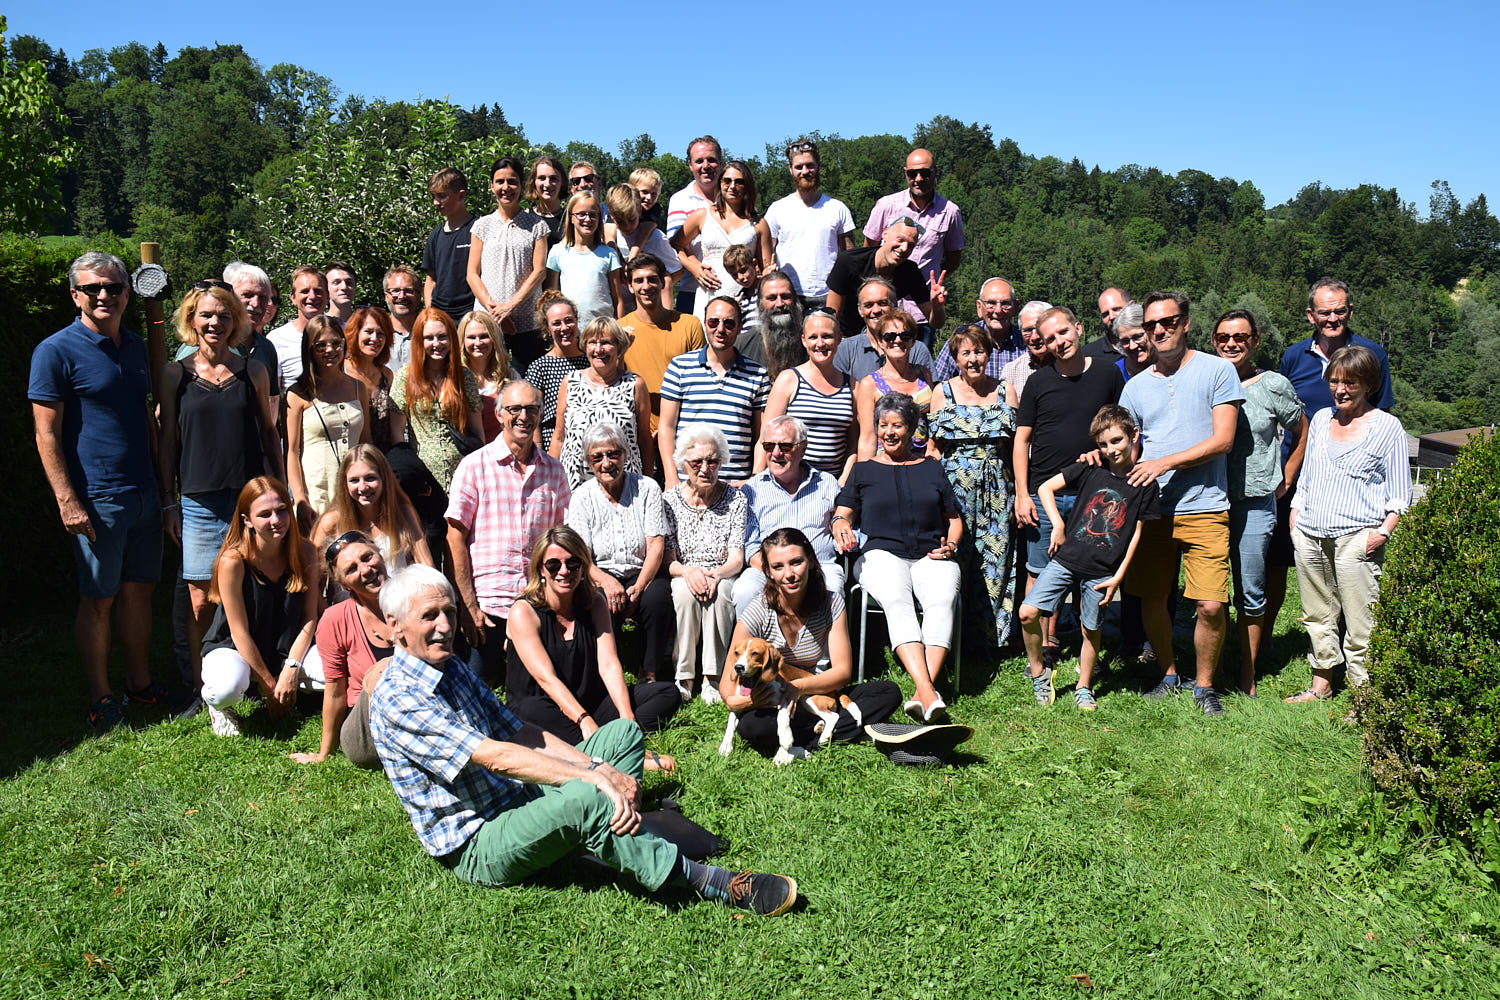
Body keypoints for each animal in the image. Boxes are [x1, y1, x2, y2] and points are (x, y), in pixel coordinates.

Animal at [717, 637, 862, 765]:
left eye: (755, 653)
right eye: (736, 653)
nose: (738, 667)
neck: (757, 687)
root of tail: (833, 691)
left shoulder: (787, 697)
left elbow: (782, 717)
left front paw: (786, 737)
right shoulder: (736, 706)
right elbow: (730, 723)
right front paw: (725, 746)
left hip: (806, 698)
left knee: (833, 716)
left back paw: (823, 736)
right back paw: (819, 727)